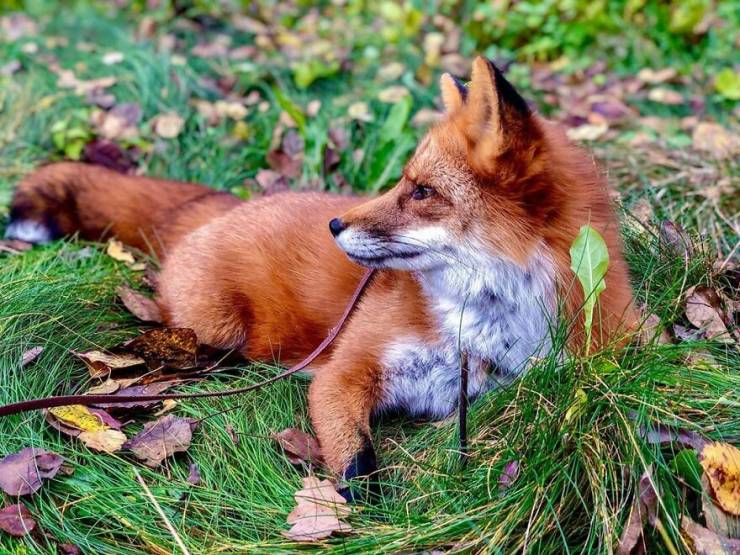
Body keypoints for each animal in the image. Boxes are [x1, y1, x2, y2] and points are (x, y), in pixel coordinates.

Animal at [7, 56, 636, 500]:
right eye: (402, 181)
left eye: (421, 191)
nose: (336, 224)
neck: (484, 323)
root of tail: (230, 203)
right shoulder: (343, 372)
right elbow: (356, 463)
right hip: (215, 331)